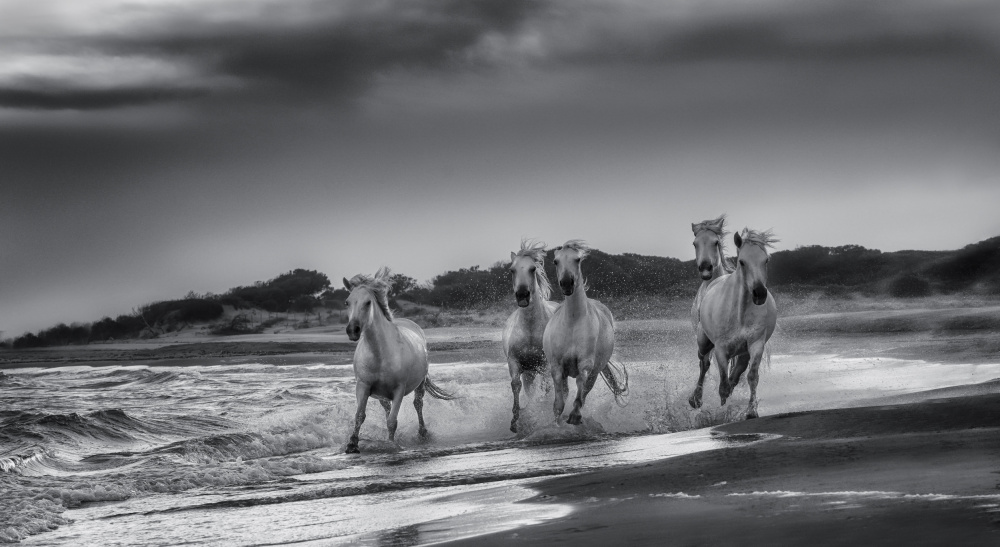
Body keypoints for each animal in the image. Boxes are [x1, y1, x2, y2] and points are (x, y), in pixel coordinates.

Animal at [342, 267, 455, 453]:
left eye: (368, 302)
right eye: (347, 302)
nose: (353, 330)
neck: (380, 354)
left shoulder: (399, 390)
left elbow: (392, 421)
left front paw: (392, 445)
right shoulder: (363, 386)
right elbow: (359, 416)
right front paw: (352, 444)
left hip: (419, 384)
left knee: (418, 404)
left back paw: (423, 434)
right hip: (382, 395)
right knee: (387, 408)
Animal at [502, 240, 558, 433]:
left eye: (533, 269)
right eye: (512, 270)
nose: (522, 295)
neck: (530, 330)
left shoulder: (546, 363)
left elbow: (548, 387)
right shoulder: (515, 362)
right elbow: (515, 385)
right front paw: (515, 421)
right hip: (530, 372)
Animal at [543, 240, 628, 425]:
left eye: (577, 259)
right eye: (556, 261)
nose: (567, 283)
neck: (573, 322)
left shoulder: (586, 365)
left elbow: (581, 389)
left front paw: (574, 416)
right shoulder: (557, 367)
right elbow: (559, 402)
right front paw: (556, 422)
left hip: (596, 370)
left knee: (585, 390)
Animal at [698, 229, 778, 419]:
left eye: (766, 260)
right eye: (742, 262)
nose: (759, 294)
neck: (739, 313)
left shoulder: (756, 344)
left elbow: (751, 377)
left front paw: (751, 411)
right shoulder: (720, 349)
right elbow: (723, 384)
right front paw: (721, 411)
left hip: (743, 354)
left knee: (734, 377)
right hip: (704, 342)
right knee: (703, 364)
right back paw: (695, 399)